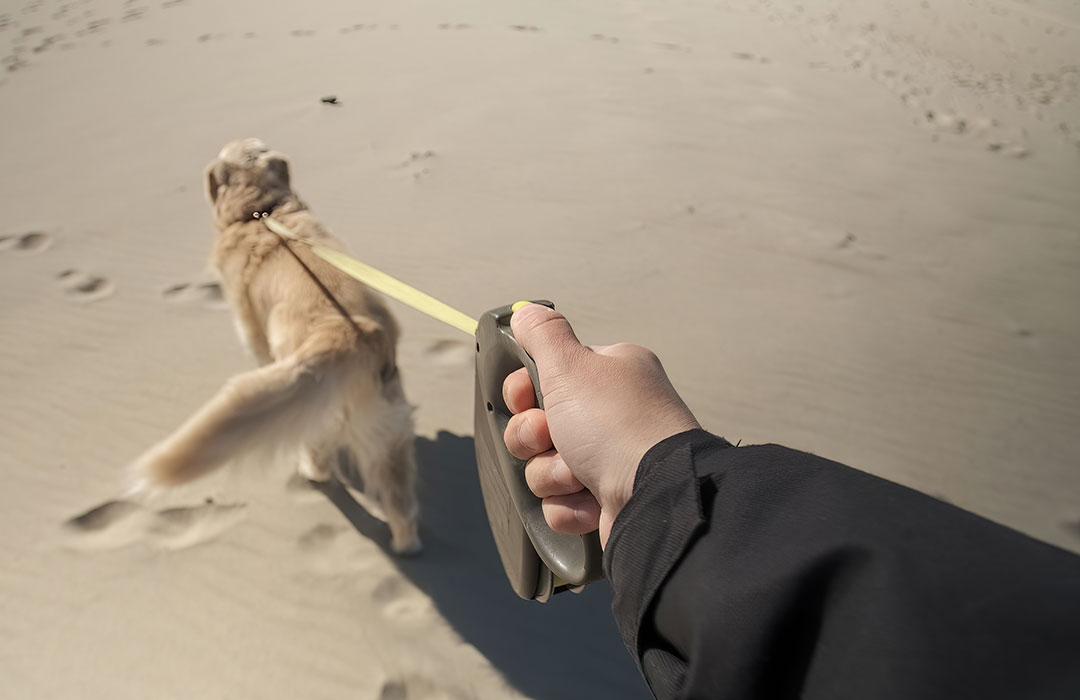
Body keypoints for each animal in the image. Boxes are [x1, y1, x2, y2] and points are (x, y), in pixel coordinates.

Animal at [130, 136, 421, 553]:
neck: (260, 212)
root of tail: (351, 332)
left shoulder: (252, 330)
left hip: (316, 411)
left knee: (320, 455)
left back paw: (313, 474)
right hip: (386, 430)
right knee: (401, 501)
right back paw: (407, 544)